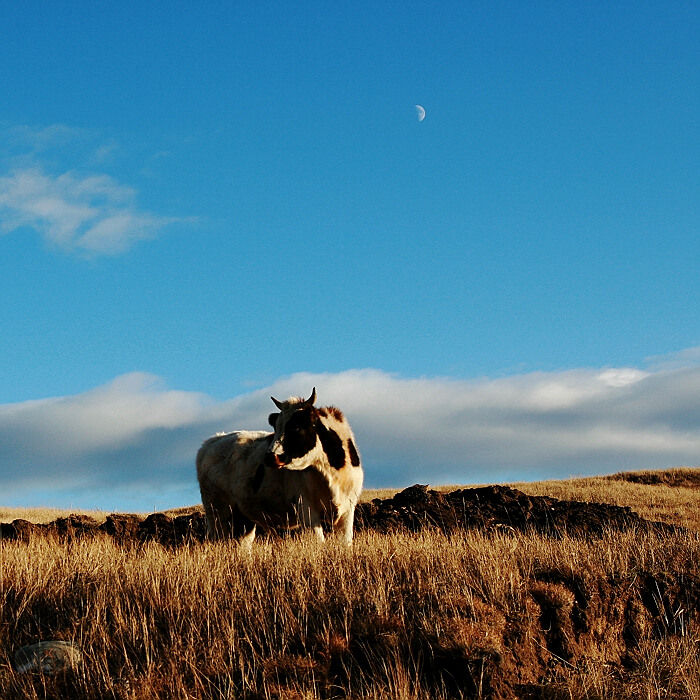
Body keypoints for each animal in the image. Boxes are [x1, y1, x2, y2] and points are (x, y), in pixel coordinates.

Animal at [196, 388, 364, 548]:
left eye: (296, 426)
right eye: (276, 427)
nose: (270, 457)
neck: (332, 474)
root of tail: (212, 441)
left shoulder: (347, 511)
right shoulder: (307, 509)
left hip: (243, 521)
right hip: (217, 513)